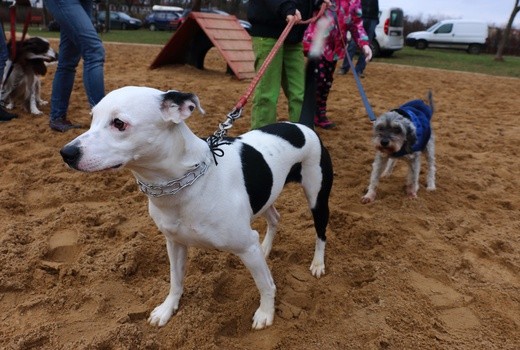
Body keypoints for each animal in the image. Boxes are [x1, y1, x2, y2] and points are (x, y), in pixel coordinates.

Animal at [59, 86, 332, 330]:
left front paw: (265, 313)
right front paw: (167, 309)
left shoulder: (245, 246)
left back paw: (318, 264)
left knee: (320, 234)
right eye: (92, 118)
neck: (183, 185)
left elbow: (265, 285)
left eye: (119, 123)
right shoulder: (175, 243)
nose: (67, 153)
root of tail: (301, 126)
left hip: (317, 197)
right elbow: (175, 281)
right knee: (274, 218)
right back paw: (266, 247)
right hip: (265, 196)